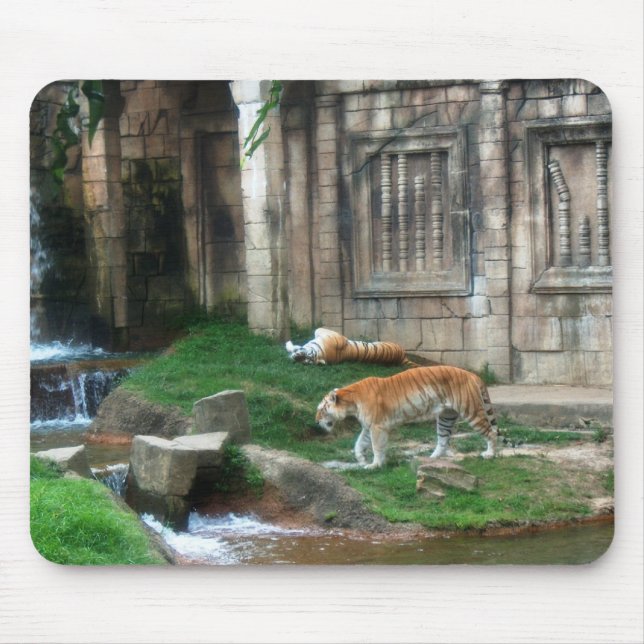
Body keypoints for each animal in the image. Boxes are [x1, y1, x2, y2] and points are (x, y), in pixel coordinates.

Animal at [285, 327, 418, 367]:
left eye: (308, 358)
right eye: (305, 362)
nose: (297, 358)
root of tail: (402, 356)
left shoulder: (331, 334)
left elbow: (316, 330)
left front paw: (289, 344)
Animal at [315, 365, 499, 469]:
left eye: (322, 410)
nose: (316, 422)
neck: (351, 403)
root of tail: (472, 375)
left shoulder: (377, 426)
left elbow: (376, 446)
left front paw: (375, 465)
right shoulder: (368, 426)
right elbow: (359, 443)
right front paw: (361, 459)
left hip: (471, 411)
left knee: (491, 432)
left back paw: (489, 454)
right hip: (446, 417)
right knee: (443, 440)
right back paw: (430, 459)